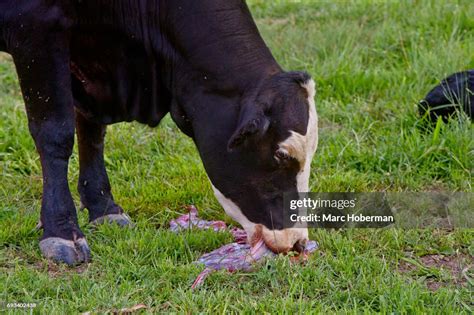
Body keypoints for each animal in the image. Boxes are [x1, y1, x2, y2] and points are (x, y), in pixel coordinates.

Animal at [0, 0, 318, 266]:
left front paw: (104, 207)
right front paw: (62, 230)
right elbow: (56, 131)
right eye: (279, 155)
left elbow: (91, 129)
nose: (298, 243)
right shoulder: (37, 29)